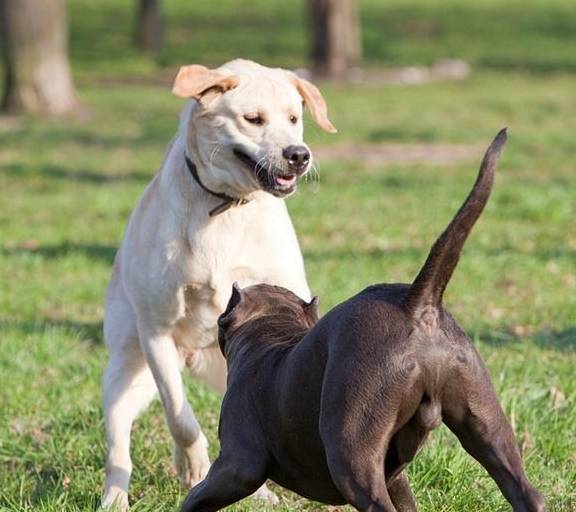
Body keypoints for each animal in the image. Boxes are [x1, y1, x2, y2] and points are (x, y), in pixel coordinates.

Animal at [180, 130, 544, 510]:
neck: (269, 334)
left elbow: (198, 493)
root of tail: (418, 305)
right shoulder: (397, 476)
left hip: (351, 450)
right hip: (485, 424)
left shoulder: (238, 464)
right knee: (526, 492)